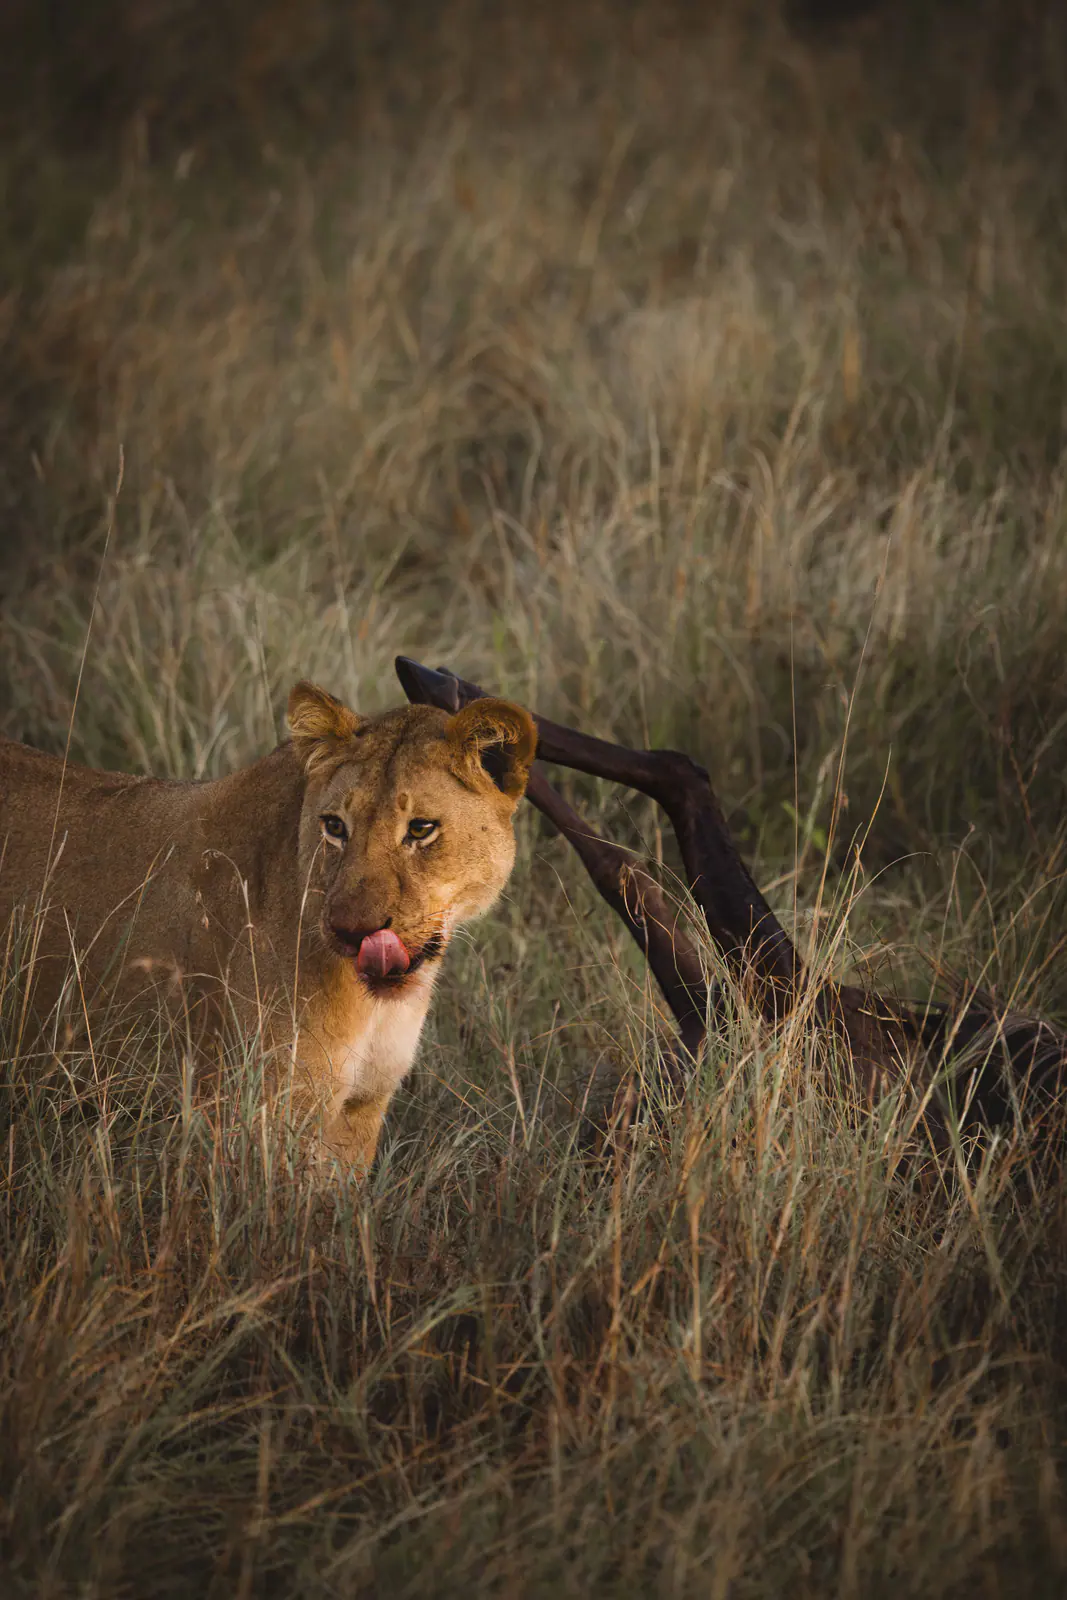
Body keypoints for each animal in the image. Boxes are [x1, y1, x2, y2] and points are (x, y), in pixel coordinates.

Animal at [0, 681, 537, 1172]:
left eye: (422, 829)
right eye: (335, 827)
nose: (349, 931)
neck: (376, 1008)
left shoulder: (358, 1112)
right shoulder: (262, 1114)